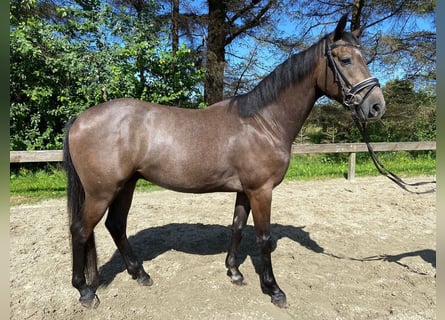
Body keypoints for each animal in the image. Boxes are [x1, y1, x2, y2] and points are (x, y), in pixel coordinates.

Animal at [62, 13, 386, 308]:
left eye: (364, 57)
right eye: (345, 59)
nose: (376, 106)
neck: (263, 122)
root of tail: (80, 119)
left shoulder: (245, 191)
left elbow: (237, 228)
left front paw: (234, 272)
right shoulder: (261, 191)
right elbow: (264, 238)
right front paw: (273, 290)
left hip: (125, 185)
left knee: (116, 225)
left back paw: (140, 274)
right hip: (101, 192)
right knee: (80, 230)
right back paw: (85, 291)